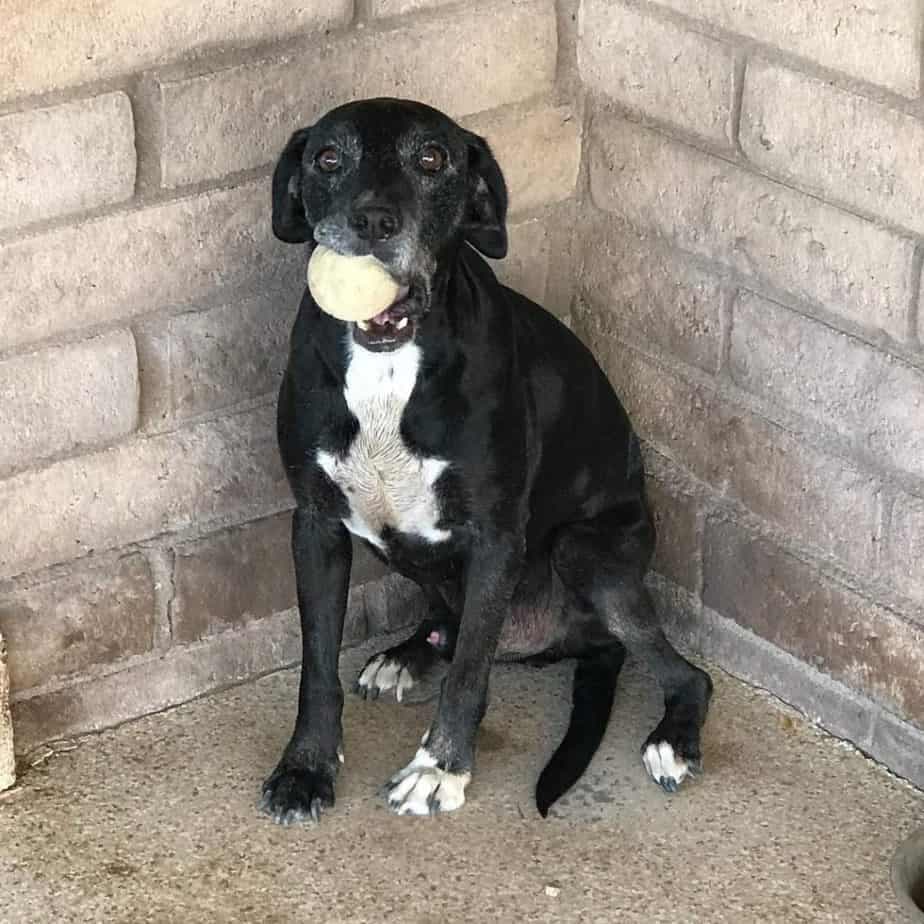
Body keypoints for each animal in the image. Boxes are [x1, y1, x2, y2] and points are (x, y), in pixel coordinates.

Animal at [260, 99, 716, 824]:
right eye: (328, 158)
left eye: (432, 159)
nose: (372, 222)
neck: (390, 365)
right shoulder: (315, 524)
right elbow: (317, 666)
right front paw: (306, 767)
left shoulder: (497, 537)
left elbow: (472, 672)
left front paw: (439, 769)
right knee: (445, 621)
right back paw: (409, 655)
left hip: (586, 552)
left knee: (688, 675)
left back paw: (673, 739)